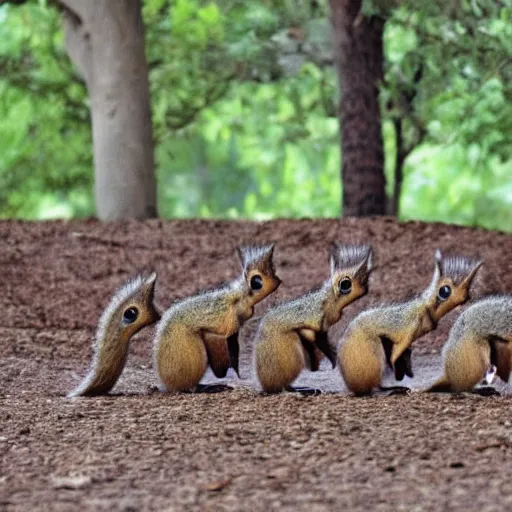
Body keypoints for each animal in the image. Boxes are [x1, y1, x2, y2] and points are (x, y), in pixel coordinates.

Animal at [153, 244, 280, 392]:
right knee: (191, 387)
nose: (279, 282)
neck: (239, 298)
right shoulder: (225, 326)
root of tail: (167, 385)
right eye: (260, 281)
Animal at [256, 242, 372, 394]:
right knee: (284, 385)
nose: (367, 290)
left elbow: (327, 347)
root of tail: (267, 386)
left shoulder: (323, 330)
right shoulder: (311, 325)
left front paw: (332, 362)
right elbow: (312, 339)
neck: (328, 302)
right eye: (347, 284)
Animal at [338, 250, 482, 394]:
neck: (427, 309)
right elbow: (395, 357)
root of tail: (351, 385)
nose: (466, 298)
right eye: (444, 291)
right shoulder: (408, 332)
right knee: (376, 386)